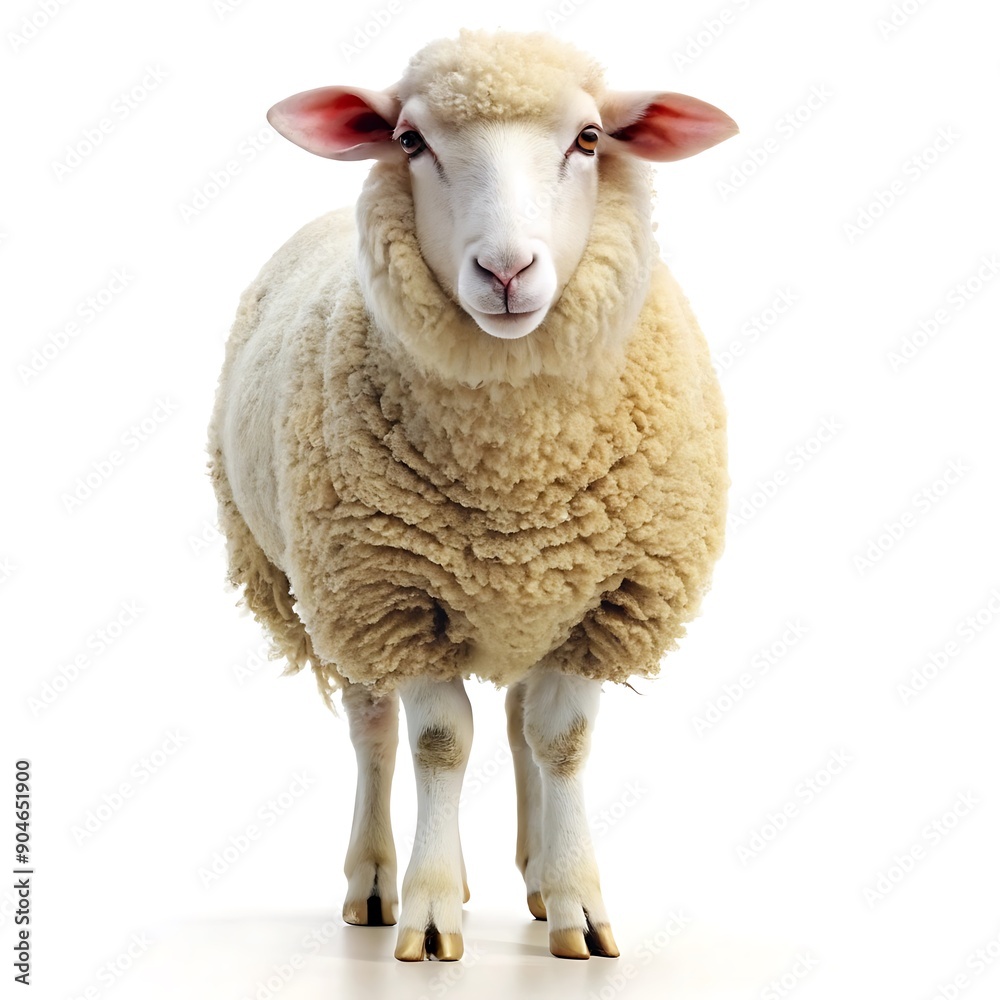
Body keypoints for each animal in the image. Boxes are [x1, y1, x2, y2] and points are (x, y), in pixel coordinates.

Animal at [207, 29, 736, 962]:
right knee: (376, 731)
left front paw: (577, 904)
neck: (515, 466)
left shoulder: (602, 600)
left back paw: (536, 874)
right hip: (328, 594)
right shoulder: (393, 597)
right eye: (410, 141)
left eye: (589, 140)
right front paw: (428, 913)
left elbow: (562, 741)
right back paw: (376, 882)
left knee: (525, 719)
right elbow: (440, 742)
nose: (506, 269)